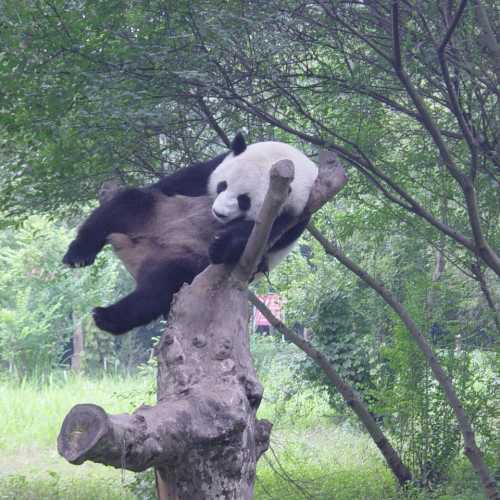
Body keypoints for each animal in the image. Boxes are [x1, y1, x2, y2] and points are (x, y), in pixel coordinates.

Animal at [64, 135, 318, 334]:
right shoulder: (208, 170)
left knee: (158, 290)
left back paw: (108, 317)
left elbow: (259, 235)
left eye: (244, 200)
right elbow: (170, 184)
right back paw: (78, 255)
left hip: (186, 263)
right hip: (153, 215)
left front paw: (220, 245)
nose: (218, 212)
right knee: (124, 207)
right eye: (223, 185)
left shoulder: (295, 213)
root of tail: (140, 248)